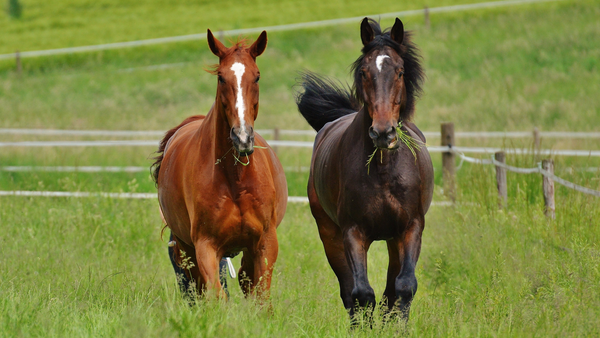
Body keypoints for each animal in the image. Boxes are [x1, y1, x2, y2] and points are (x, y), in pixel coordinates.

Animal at [152, 29, 288, 298]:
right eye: (221, 78)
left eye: (257, 77)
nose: (242, 137)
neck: (235, 180)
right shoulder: (205, 246)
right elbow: (216, 294)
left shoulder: (265, 243)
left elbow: (260, 296)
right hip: (186, 249)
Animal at [294, 18, 432, 320]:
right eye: (364, 72)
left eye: (400, 71)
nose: (382, 132)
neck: (384, 171)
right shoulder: (352, 232)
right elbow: (361, 294)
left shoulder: (411, 227)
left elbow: (403, 287)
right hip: (330, 235)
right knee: (350, 293)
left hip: (393, 240)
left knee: (391, 290)